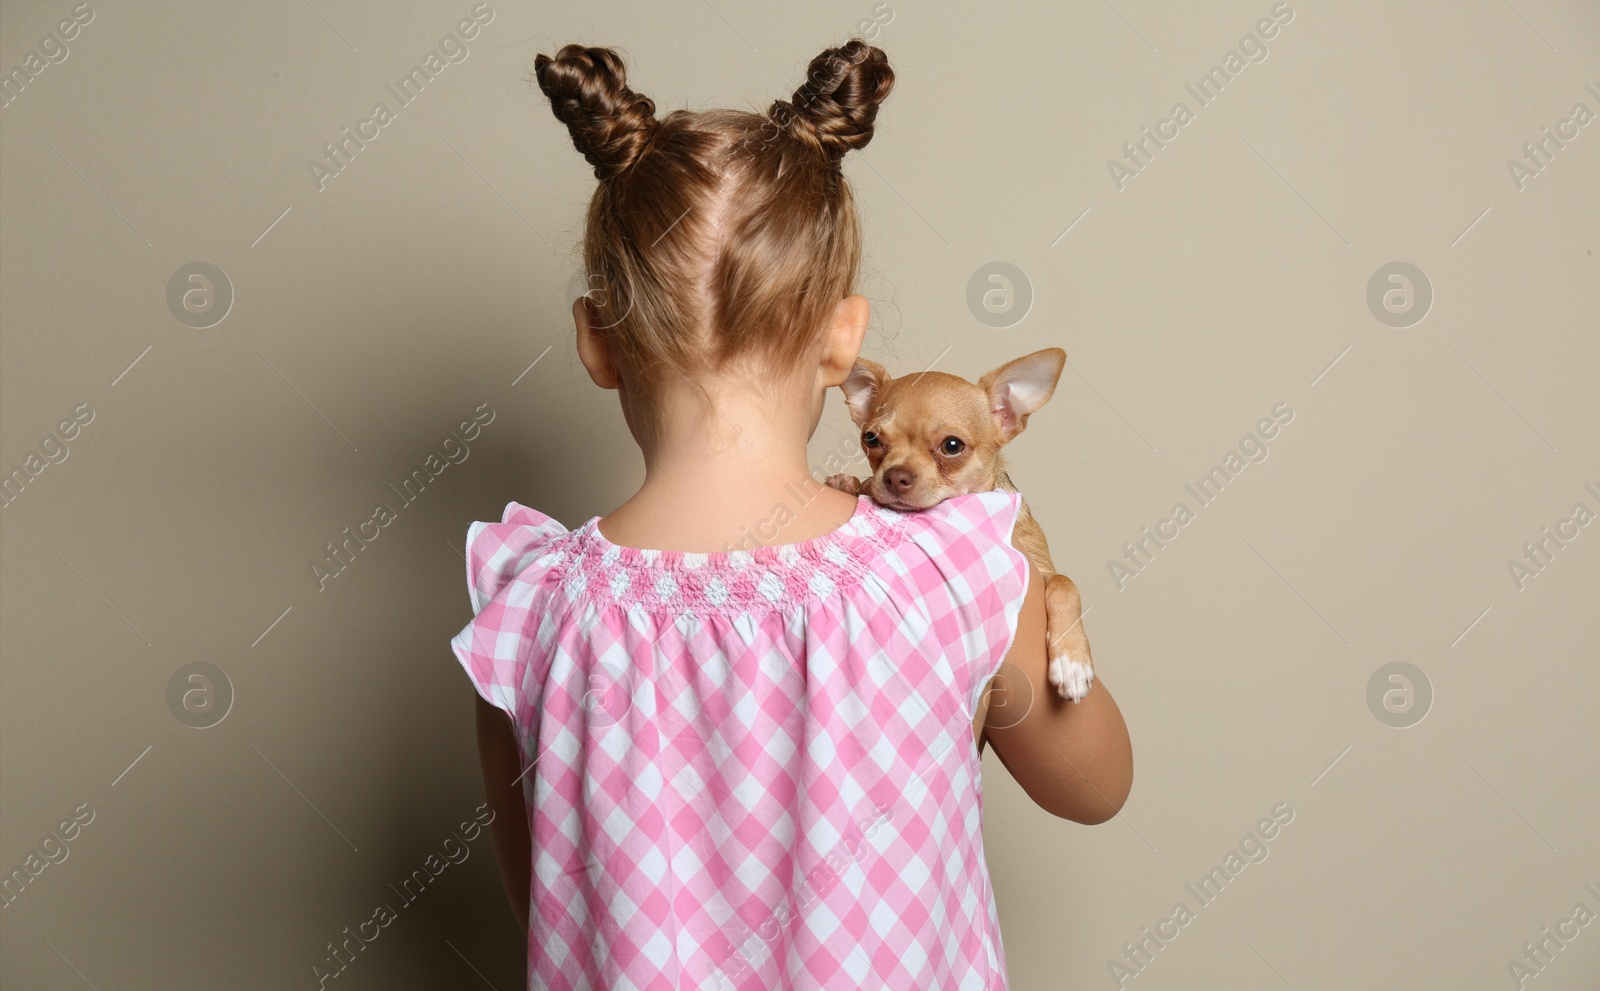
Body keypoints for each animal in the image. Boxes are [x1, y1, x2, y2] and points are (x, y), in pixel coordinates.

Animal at [819, 349, 1094, 704]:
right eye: (871, 439)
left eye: (952, 446)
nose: (895, 476)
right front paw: (848, 483)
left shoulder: (1042, 567)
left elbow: (1065, 584)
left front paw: (1072, 661)